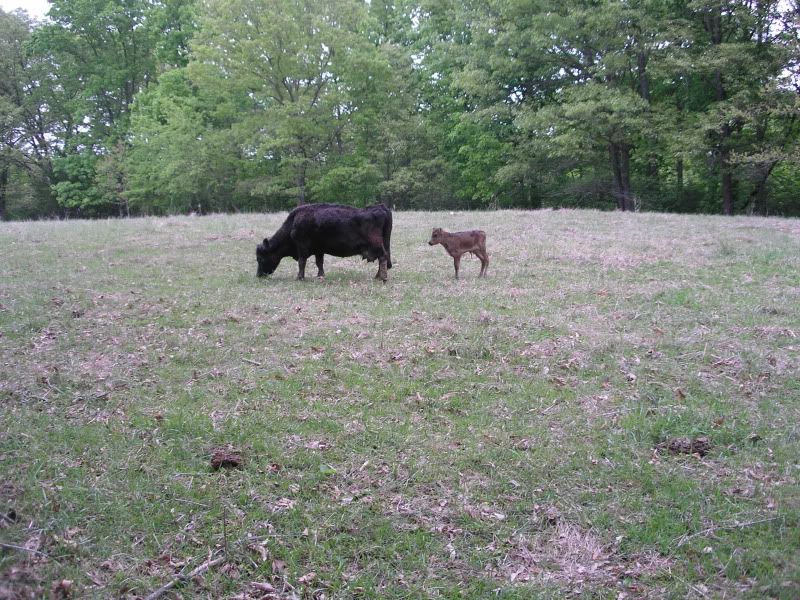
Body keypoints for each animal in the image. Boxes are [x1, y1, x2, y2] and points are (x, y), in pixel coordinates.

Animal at [256, 203, 393, 281]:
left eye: (260, 258)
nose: (258, 275)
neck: (293, 223)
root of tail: (381, 207)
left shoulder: (302, 247)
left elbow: (301, 262)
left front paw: (299, 277)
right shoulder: (319, 250)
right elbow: (319, 263)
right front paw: (320, 276)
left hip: (376, 245)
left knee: (382, 257)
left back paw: (382, 278)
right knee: (384, 259)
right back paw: (377, 276)